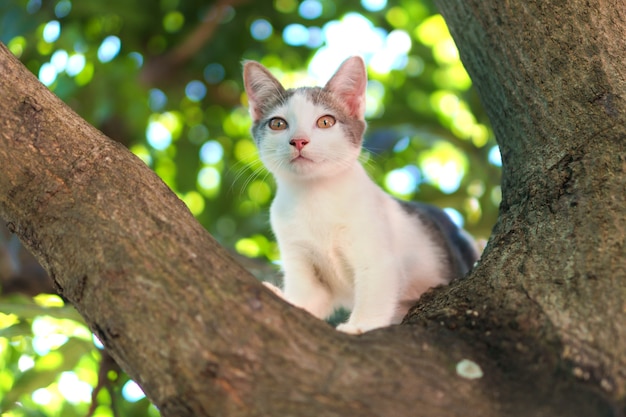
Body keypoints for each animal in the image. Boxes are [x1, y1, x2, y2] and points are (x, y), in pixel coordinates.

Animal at [241, 57, 476, 334]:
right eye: (277, 124)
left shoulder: (378, 255)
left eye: (325, 122)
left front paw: (360, 325)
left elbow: (375, 290)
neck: (314, 197)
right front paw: (284, 297)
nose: (299, 140)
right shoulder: (300, 258)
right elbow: (308, 297)